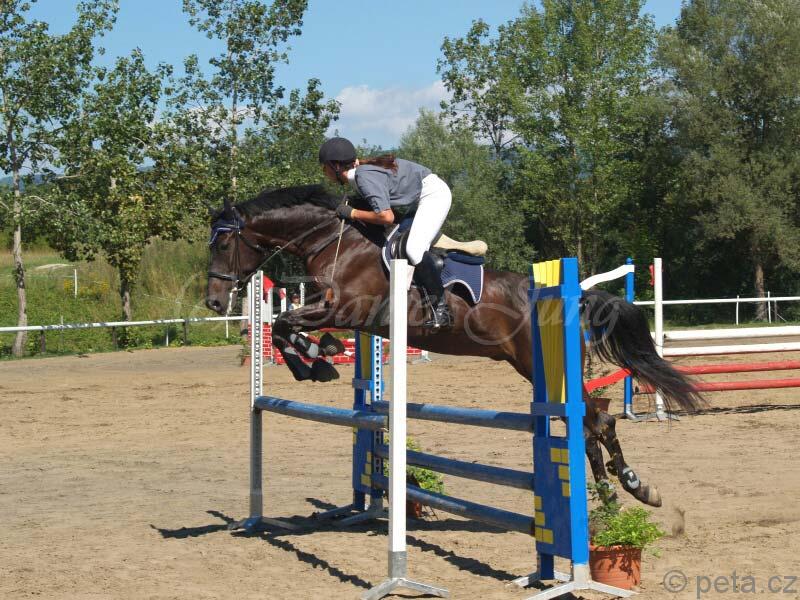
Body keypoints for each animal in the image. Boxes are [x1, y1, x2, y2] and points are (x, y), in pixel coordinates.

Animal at [205, 184, 703, 507]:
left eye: (224, 243)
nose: (212, 300)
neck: (337, 241)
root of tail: (571, 293)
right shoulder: (338, 311)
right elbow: (285, 325)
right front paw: (318, 358)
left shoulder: (345, 309)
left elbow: (285, 323)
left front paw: (317, 360)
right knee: (588, 421)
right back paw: (609, 494)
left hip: (540, 364)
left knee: (596, 419)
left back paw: (634, 487)